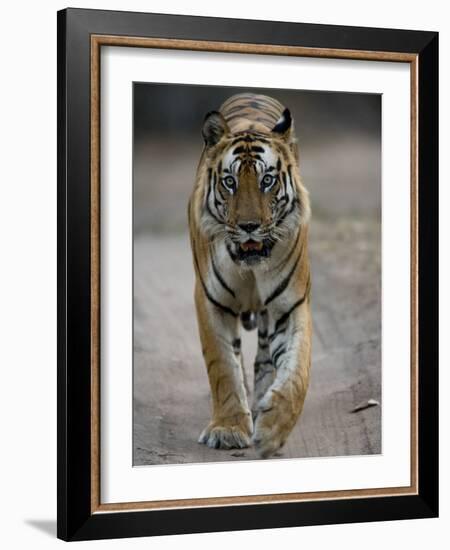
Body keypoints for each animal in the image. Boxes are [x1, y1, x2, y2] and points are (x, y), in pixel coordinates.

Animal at [188, 92, 312, 460]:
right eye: (230, 182)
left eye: (266, 180)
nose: (248, 226)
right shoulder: (211, 301)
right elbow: (223, 368)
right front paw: (228, 429)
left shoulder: (292, 305)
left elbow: (297, 371)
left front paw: (273, 428)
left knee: (267, 357)